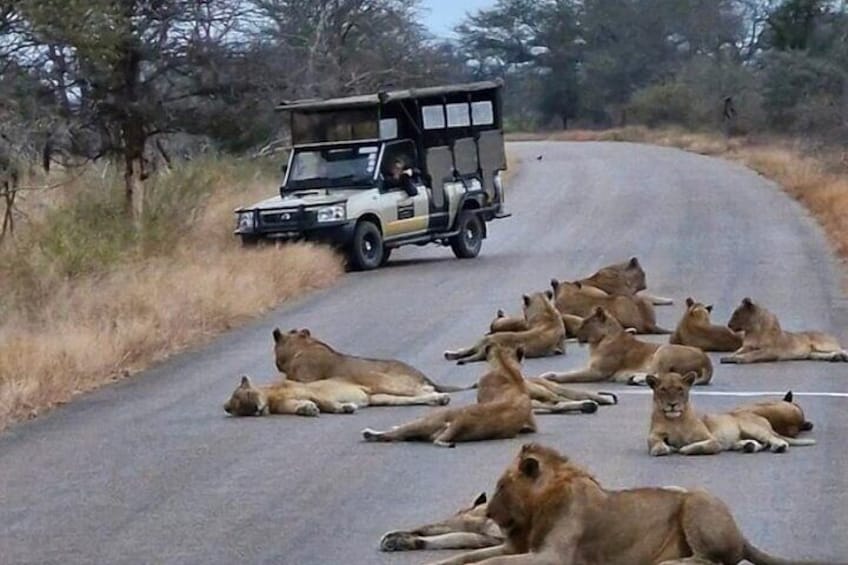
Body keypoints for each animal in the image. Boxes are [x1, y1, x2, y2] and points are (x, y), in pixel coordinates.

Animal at [362, 344, 535, 447]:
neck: (506, 368)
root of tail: (458, 423)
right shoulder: (531, 424)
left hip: (429, 420)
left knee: (394, 433)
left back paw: (370, 433)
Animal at [424, 442, 829, 565]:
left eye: (501, 485)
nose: (490, 513)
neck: (538, 509)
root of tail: (741, 533)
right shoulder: (517, 546)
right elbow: (469, 557)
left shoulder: (552, 557)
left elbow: (491, 562)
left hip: (697, 497)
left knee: (712, 560)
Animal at [541, 306, 712, 386]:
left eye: (586, 323)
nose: (575, 334)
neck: (597, 343)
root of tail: (707, 362)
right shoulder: (591, 367)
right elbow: (571, 370)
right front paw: (548, 373)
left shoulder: (598, 372)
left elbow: (572, 375)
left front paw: (551, 378)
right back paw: (634, 378)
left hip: (664, 350)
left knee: (664, 375)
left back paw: (636, 378)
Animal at [646, 371, 817, 456]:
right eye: (663, 389)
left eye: (680, 389)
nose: (672, 405)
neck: (674, 421)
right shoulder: (654, 435)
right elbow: (654, 442)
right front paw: (661, 448)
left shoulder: (712, 440)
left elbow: (699, 446)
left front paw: (681, 448)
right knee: (761, 443)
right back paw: (749, 446)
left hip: (753, 428)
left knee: (773, 439)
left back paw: (778, 446)